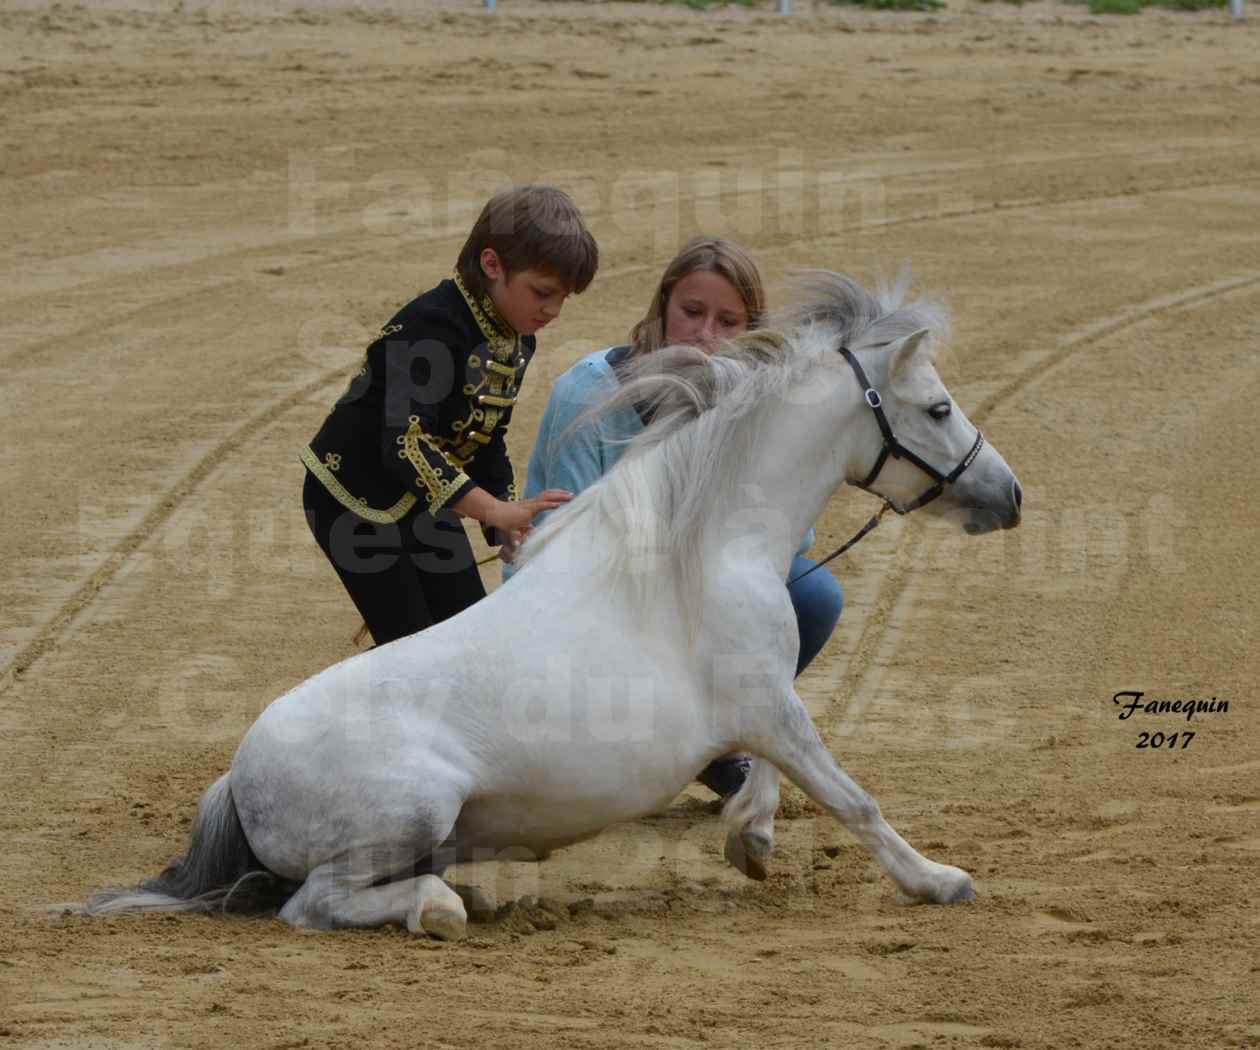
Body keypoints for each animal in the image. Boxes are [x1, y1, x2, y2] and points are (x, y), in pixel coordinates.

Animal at [81, 268, 1023, 932]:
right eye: (939, 407)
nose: (1010, 495)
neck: (701, 553)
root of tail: (238, 777)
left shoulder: (760, 707)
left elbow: (775, 775)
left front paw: (750, 843)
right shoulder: (767, 704)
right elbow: (849, 795)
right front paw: (938, 880)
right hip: (413, 810)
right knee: (310, 903)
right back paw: (443, 908)